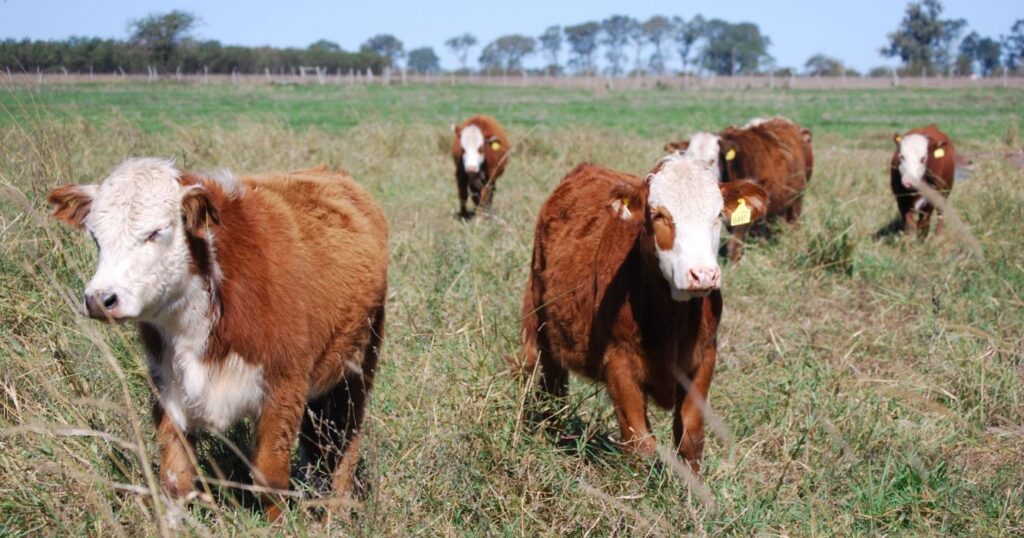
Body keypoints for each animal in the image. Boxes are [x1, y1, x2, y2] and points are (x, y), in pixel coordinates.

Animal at [44, 157, 389, 518]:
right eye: (96, 237)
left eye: (156, 232)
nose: (100, 298)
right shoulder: (168, 386)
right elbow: (175, 477)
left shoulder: (284, 384)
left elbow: (269, 477)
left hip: (359, 366)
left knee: (346, 439)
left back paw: (339, 508)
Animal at [520, 148, 770, 471]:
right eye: (659, 215)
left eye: (718, 215)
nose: (703, 274)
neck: (671, 318)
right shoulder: (618, 360)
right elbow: (640, 443)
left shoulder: (704, 357)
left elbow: (690, 437)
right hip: (544, 324)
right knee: (552, 385)